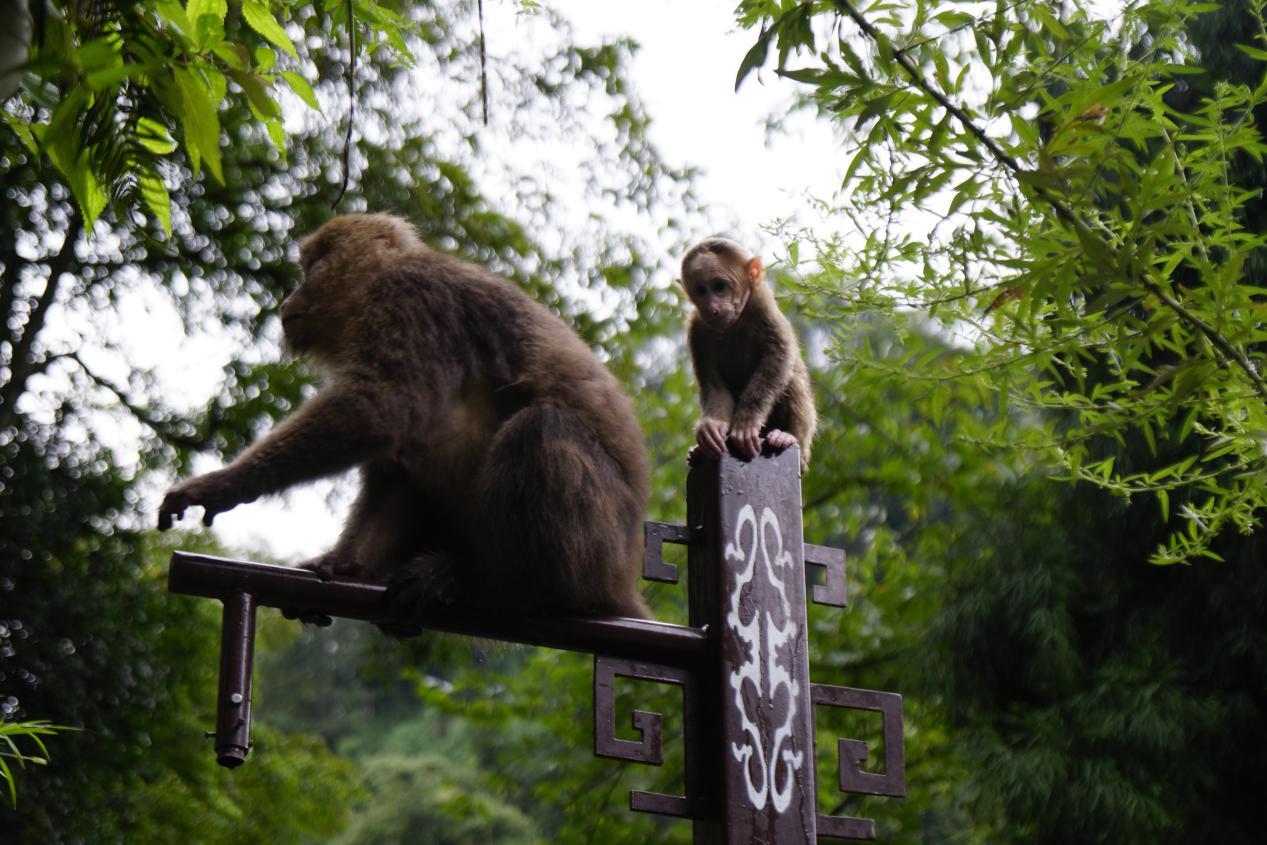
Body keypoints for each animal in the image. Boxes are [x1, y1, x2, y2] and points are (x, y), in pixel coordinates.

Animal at [158, 215, 653, 618]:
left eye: (311, 269)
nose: (287, 301)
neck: (377, 280)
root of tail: (624, 582)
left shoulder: (408, 296)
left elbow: (379, 407)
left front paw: (223, 484)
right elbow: (392, 457)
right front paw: (343, 563)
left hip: (603, 550)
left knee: (539, 428)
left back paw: (507, 585)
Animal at [679, 238, 815, 473]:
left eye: (719, 287)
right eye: (701, 290)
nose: (712, 308)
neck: (735, 323)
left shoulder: (763, 304)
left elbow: (780, 355)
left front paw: (747, 421)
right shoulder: (697, 328)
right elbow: (713, 383)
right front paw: (712, 427)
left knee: (792, 380)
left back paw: (788, 437)